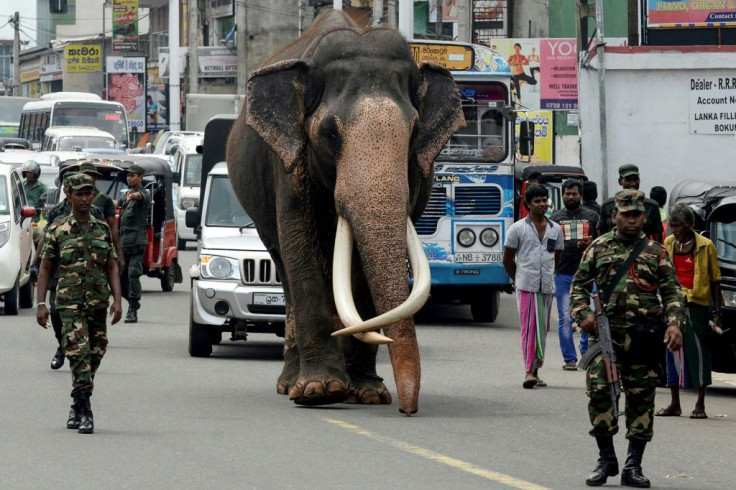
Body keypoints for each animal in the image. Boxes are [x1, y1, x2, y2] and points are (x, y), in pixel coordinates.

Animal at [227, 9, 462, 416]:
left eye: (415, 132)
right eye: (330, 133)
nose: (408, 409)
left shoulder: (420, 171)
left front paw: (368, 394)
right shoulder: (288, 162)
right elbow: (299, 245)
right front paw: (319, 391)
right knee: (284, 266)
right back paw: (290, 384)